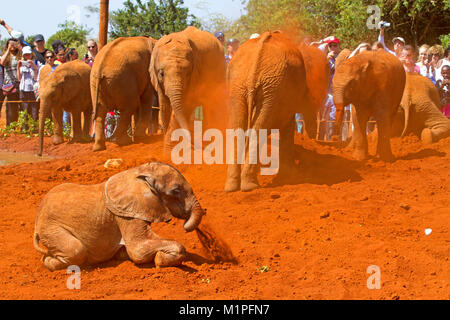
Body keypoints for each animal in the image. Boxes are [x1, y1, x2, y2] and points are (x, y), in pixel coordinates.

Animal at [33, 162, 206, 270]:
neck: (138, 172)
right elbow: (138, 250)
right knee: (76, 250)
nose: (185, 225)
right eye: (175, 191)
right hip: (50, 228)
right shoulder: (125, 215)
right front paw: (159, 261)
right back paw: (48, 261)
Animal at [225, 31, 310, 192]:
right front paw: (288, 176)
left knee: (238, 128)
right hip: (273, 88)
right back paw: (249, 186)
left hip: (240, 86)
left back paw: (233, 187)